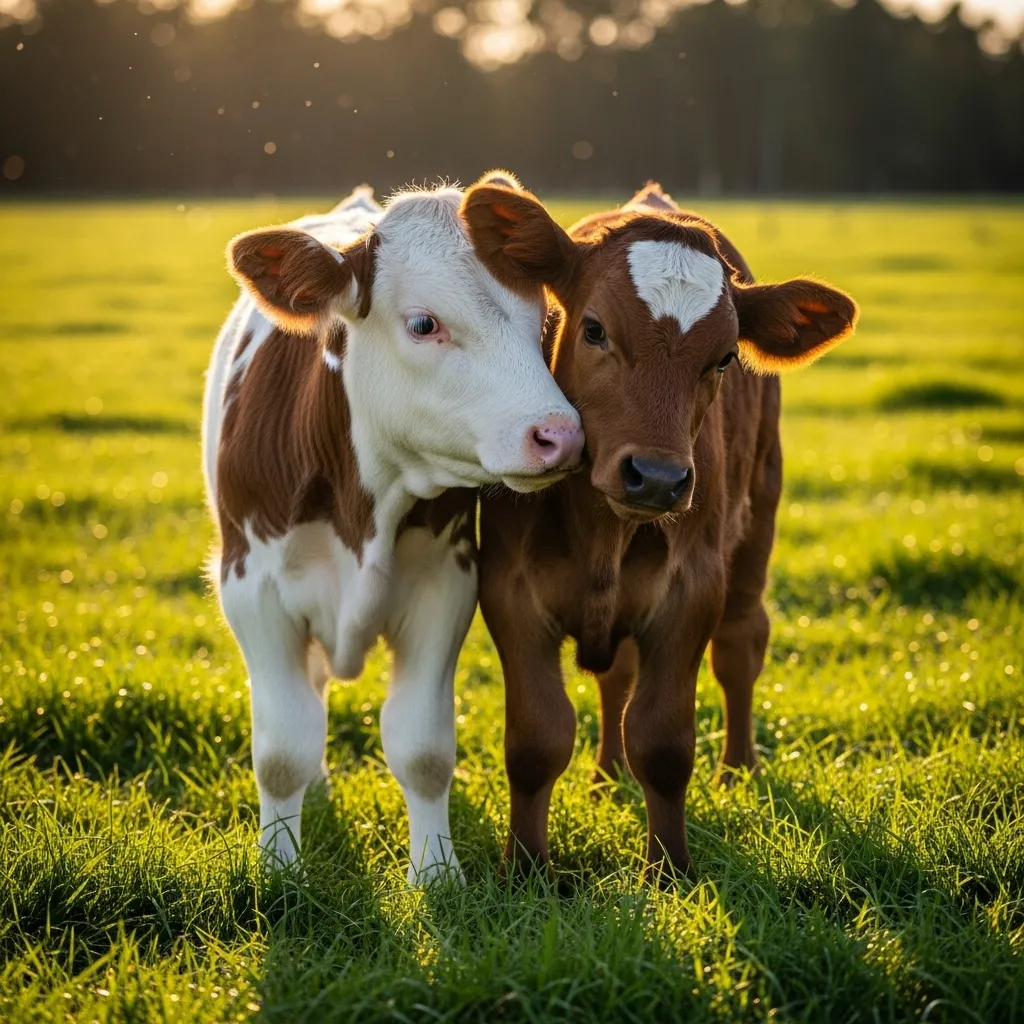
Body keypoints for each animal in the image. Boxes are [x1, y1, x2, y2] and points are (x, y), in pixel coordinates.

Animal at [202, 174, 584, 884]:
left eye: (543, 322)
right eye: (423, 324)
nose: (561, 435)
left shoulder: (445, 585)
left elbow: (423, 750)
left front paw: (437, 874)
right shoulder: (253, 590)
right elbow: (283, 751)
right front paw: (281, 871)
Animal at [469, 181, 858, 881]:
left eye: (724, 358)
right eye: (594, 329)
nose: (655, 478)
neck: (601, 532)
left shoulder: (692, 589)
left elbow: (664, 742)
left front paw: (669, 870)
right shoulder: (509, 590)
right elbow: (537, 740)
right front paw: (526, 868)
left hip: (759, 516)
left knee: (741, 645)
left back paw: (737, 772)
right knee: (617, 679)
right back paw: (607, 777)